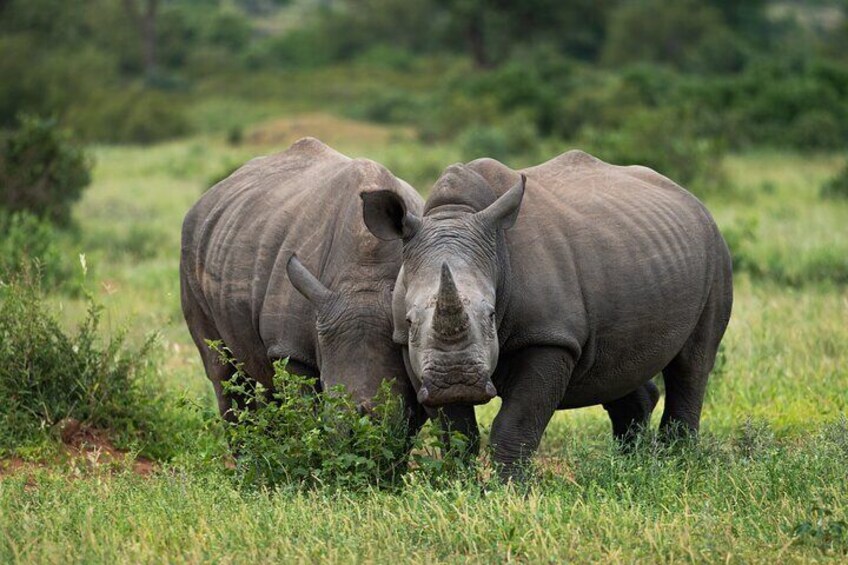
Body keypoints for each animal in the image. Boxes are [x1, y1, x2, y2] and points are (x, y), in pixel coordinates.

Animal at [180, 137, 424, 422]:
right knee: (225, 372)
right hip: (191, 244)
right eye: (327, 388)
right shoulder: (291, 348)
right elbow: (303, 407)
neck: (364, 277)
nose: (363, 421)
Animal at [361, 150, 733, 479]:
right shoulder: (409, 351)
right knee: (623, 366)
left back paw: (677, 466)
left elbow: (516, 423)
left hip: (716, 250)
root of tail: (692, 199)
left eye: (491, 315)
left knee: (692, 363)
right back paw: (630, 466)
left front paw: (509, 491)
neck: (455, 214)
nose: (457, 380)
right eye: (410, 322)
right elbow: (457, 432)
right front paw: (459, 487)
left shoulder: (550, 336)